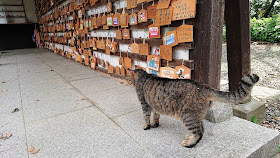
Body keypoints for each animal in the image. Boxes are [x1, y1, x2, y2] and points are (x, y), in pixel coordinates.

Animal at [130, 69, 260, 148]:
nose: (129, 81)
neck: (145, 75)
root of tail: (204, 86)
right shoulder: (155, 106)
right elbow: (156, 116)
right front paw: (154, 124)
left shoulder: (145, 105)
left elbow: (146, 117)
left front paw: (146, 126)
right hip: (197, 116)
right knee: (201, 129)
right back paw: (189, 137)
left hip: (188, 116)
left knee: (199, 133)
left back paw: (189, 144)